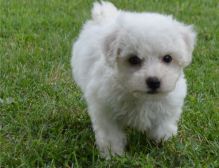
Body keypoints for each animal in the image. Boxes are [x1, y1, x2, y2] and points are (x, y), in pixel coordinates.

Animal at [71, 0, 196, 158]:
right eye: (134, 60)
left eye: (167, 58)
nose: (154, 81)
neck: (141, 96)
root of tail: (104, 15)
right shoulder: (105, 108)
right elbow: (111, 134)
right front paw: (113, 154)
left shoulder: (170, 103)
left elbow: (163, 124)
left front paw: (162, 139)